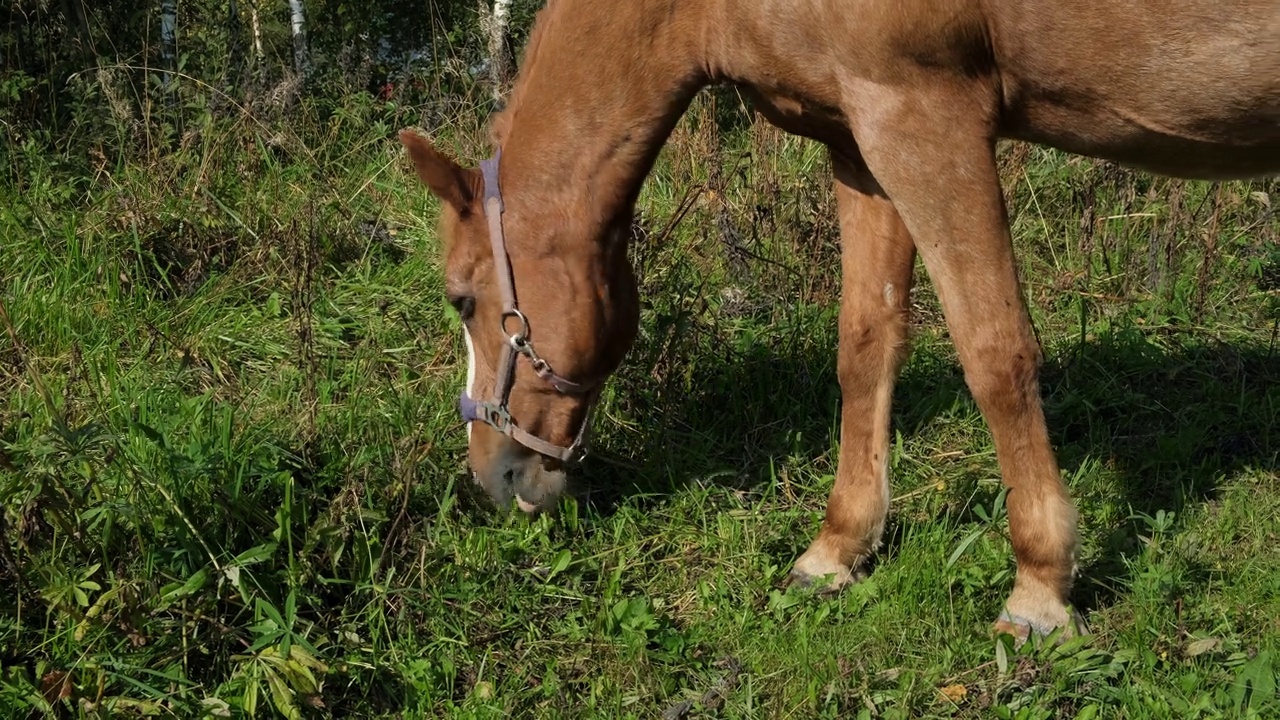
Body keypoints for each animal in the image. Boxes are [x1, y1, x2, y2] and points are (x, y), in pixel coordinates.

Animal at [401, 0, 1280, 638]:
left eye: (462, 298)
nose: (492, 477)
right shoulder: (860, 139)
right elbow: (866, 345)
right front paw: (838, 549)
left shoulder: (923, 117)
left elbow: (995, 353)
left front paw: (1039, 590)